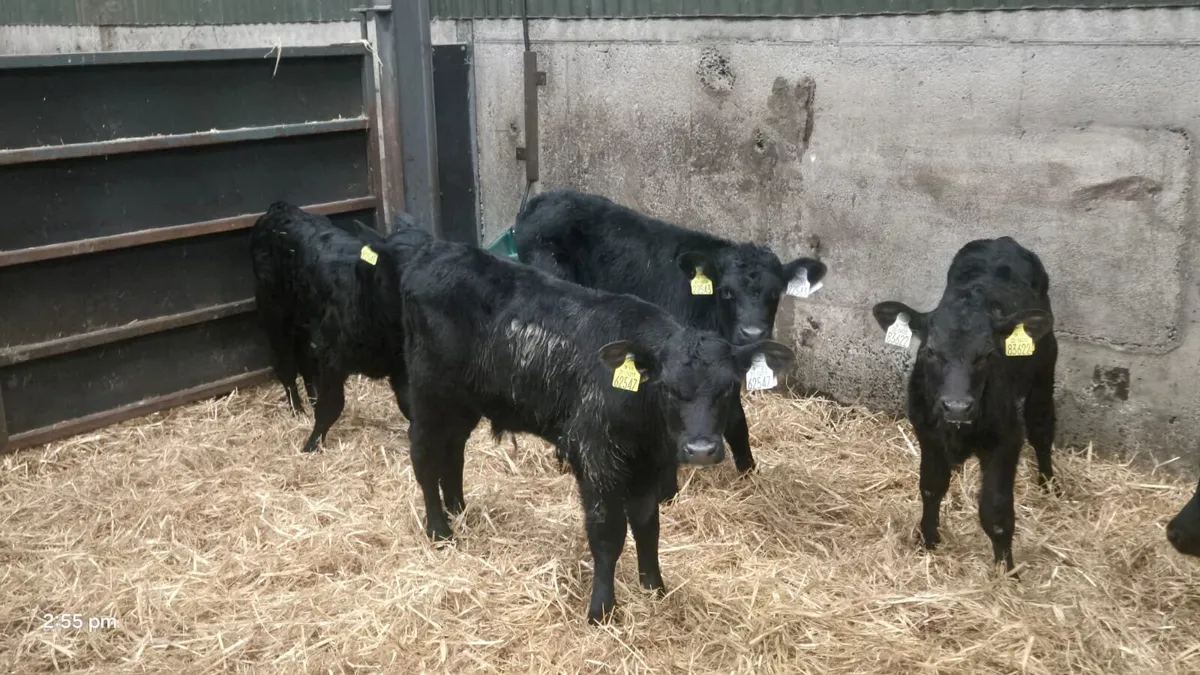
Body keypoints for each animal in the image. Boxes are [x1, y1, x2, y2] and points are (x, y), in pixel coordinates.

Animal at [249, 201, 420, 453]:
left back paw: (311, 400)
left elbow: (409, 403)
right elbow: (331, 405)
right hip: (273, 312)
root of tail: (281, 208)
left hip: (306, 323)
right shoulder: (332, 356)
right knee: (286, 366)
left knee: (306, 364)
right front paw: (310, 445)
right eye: (398, 265)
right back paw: (297, 410)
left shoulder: (400, 364)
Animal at [368, 233, 795, 624]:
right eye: (669, 389)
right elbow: (608, 534)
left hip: (465, 400)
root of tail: (436, 251)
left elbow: (648, 526)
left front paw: (654, 587)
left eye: (726, 388)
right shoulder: (597, 459)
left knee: (453, 450)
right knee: (425, 454)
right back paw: (440, 529)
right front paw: (601, 609)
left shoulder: (646, 466)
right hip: (428, 391)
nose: (701, 449)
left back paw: (458, 507)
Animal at [512, 188, 826, 502]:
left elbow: (737, 421)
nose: (752, 332)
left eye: (775, 292)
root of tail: (544, 198)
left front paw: (749, 473)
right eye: (727, 292)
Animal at [871, 236, 1057, 573]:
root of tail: (1002, 241)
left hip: (1045, 365)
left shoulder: (1007, 439)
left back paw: (1049, 484)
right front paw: (928, 540)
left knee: (1042, 425)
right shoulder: (927, 431)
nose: (957, 407)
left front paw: (1006, 572)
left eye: (987, 353)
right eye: (930, 351)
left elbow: (996, 512)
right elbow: (931, 486)